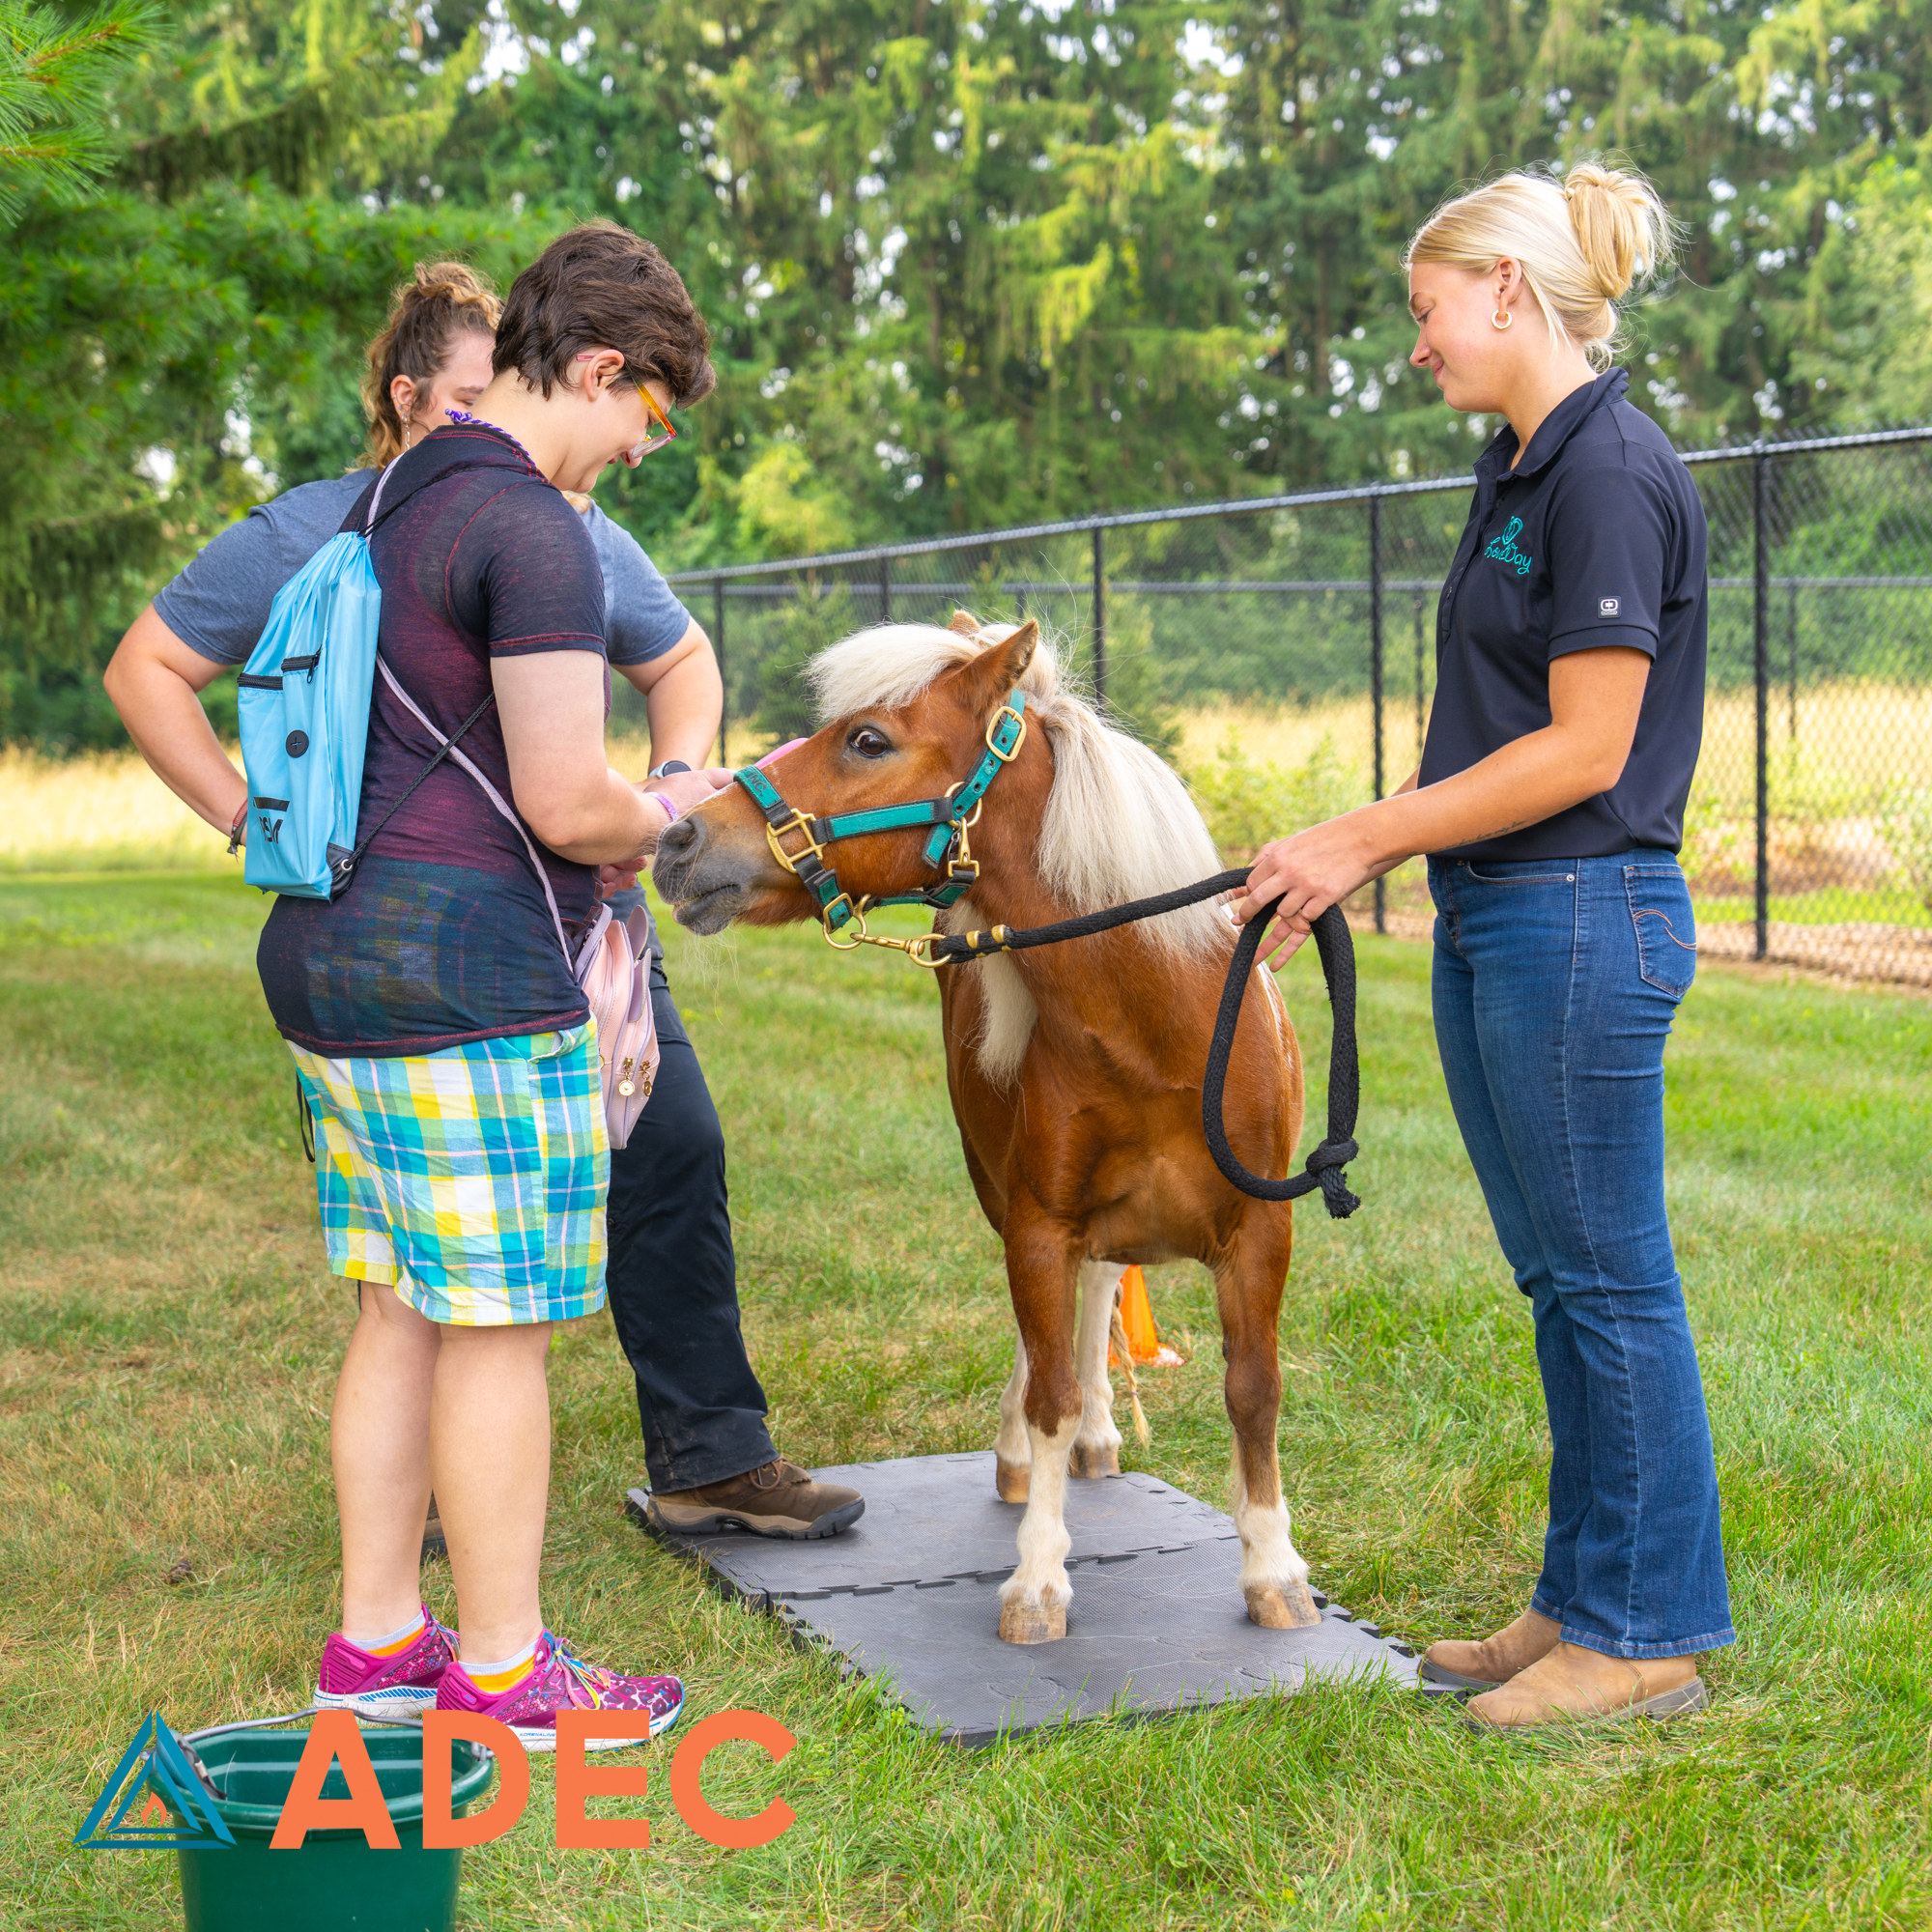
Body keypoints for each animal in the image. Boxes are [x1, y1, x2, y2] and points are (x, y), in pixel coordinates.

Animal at [652, 613, 1322, 1644]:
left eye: (868, 740)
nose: (680, 838)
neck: (1164, 1023)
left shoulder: (1261, 1232)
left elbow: (1253, 1390)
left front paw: (1273, 1568)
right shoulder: (1041, 1220)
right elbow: (1047, 1391)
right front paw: (1038, 1578)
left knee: (1099, 1294)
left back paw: (1104, 1433)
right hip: (1003, 1191)